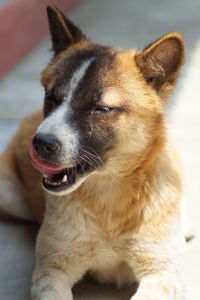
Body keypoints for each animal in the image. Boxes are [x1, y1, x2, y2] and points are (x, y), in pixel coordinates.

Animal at [0, 3, 191, 298]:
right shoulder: (51, 272)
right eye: (51, 97)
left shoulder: (162, 273)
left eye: (101, 109)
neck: (110, 197)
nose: (40, 143)